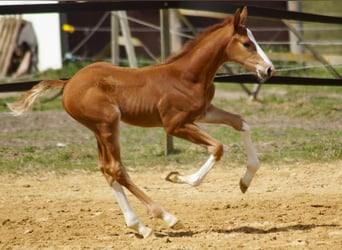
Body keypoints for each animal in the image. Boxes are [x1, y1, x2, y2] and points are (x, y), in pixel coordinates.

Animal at [8, 7, 274, 238]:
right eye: (247, 44)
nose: (269, 69)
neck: (188, 76)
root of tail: (68, 83)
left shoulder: (203, 112)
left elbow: (241, 123)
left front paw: (245, 182)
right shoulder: (174, 125)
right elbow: (217, 147)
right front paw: (178, 178)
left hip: (98, 129)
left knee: (107, 170)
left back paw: (139, 226)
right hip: (108, 124)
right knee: (116, 168)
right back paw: (167, 217)